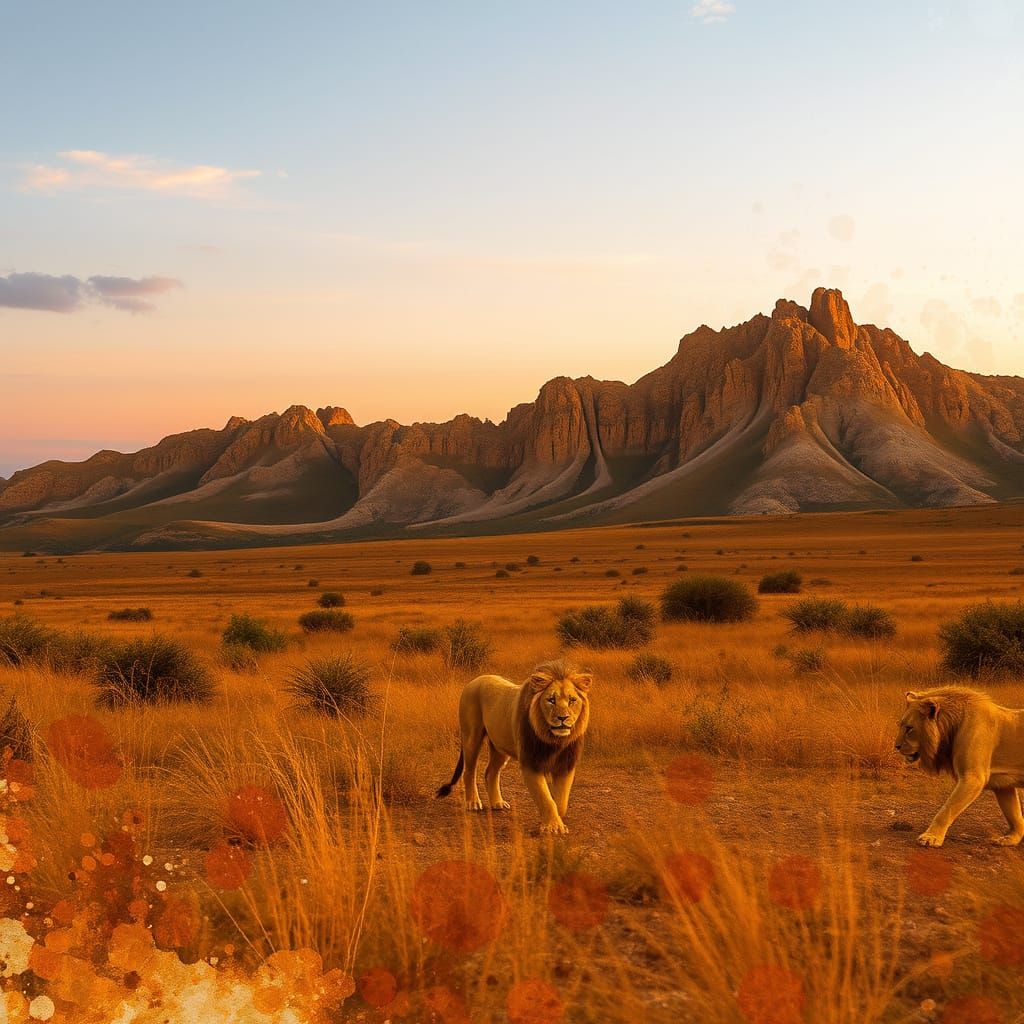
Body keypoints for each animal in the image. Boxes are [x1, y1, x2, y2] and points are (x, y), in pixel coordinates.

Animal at [436, 658, 592, 835]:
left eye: (572, 700)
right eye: (551, 700)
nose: (563, 718)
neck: (554, 741)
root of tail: (474, 681)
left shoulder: (565, 765)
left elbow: (561, 801)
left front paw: (556, 821)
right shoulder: (530, 763)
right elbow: (545, 798)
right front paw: (553, 827)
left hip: (500, 746)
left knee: (490, 772)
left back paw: (497, 803)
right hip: (471, 736)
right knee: (469, 771)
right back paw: (473, 803)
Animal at [896, 687, 1024, 848]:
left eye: (909, 729)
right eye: (901, 726)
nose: (896, 746)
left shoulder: (973, 778)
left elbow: (947, 809)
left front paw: (931, 837)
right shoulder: (1002, 785)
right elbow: (1014, 814)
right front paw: (1010, 838)